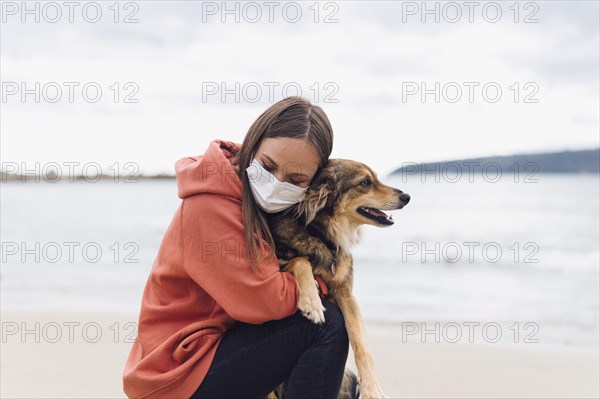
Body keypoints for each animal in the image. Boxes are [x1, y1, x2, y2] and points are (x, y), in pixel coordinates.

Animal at [264, 158, 410, 398]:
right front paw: (312, 302)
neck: (323, 236)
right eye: (365, 182)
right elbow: (301, 261)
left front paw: (371, 387)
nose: (407, 197)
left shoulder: (345, 292)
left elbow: (360, 341)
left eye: (375, 178)